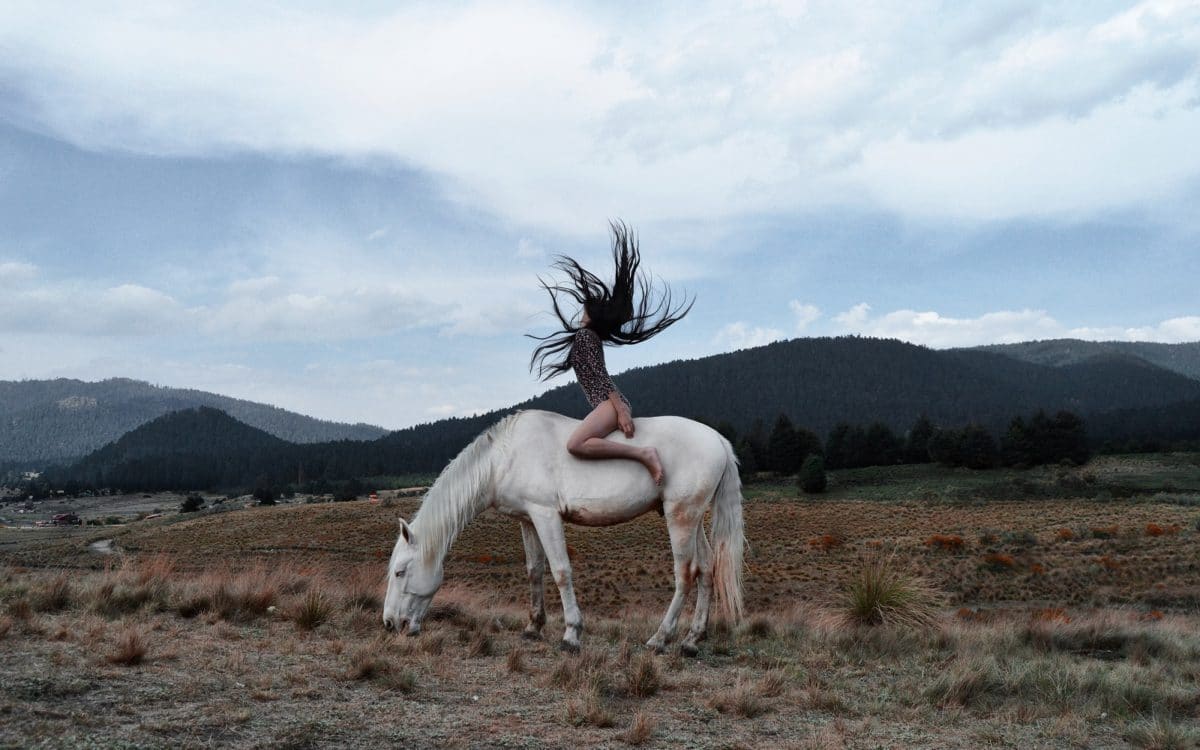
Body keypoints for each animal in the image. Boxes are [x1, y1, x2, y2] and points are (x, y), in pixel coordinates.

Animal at [384, 405, 739, 652]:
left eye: (400, 572)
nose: (389, 623)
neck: (504, 458)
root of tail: (718, 439)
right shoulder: (527, 519)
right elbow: (534, 570)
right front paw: (533, 627)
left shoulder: (546, 515)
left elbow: (561, 571)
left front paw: (571, 634)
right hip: (693, 519)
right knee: (707, 569)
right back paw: (692, 640)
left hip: (680, 517)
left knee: (685, 574)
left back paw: (660, 639)